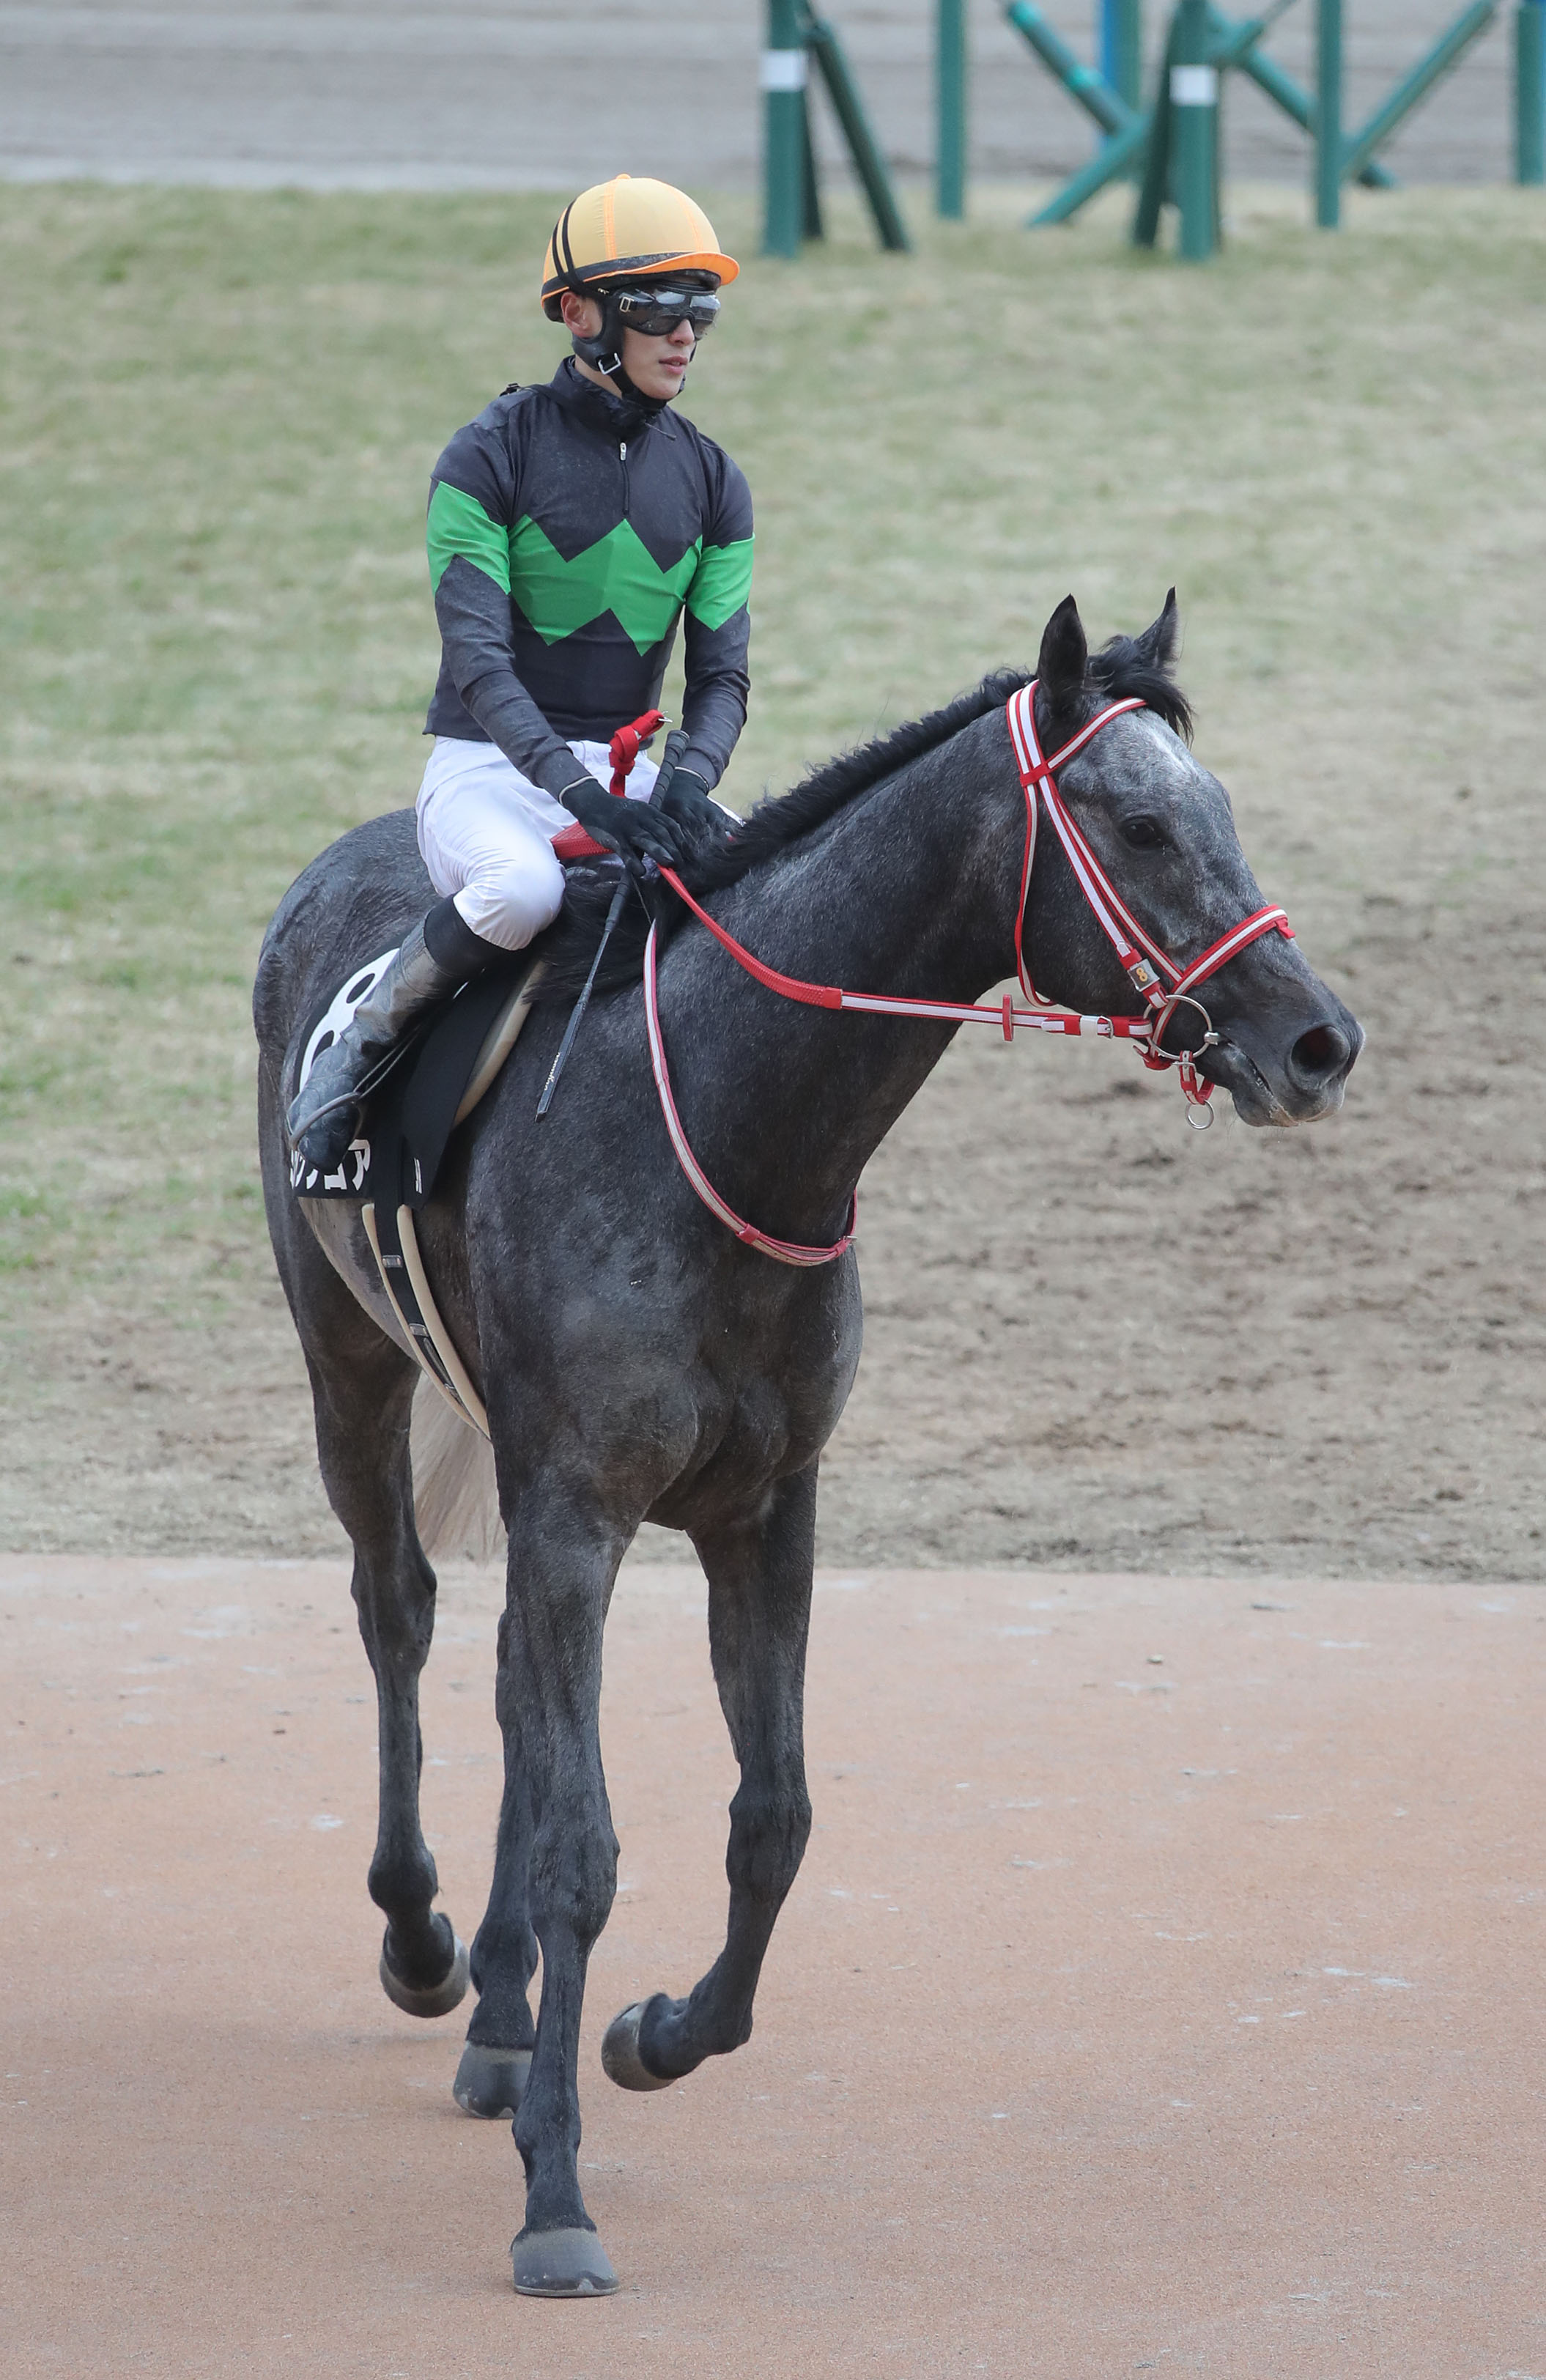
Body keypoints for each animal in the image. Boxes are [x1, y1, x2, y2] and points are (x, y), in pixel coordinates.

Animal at [255, 590, 1360, 2285]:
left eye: (1218, 809)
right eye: (1141, 823)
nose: (1316, 1040)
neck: (722, 1123)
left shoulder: (760, 1505)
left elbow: (770, 1821)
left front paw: (649, 2034)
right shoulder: (580, 1500)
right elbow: (586, 1846)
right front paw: (556, 2192)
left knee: (506, 1682)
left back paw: (503, 2015)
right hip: (351, 1362)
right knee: (399, 1615)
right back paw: (424, 1940)